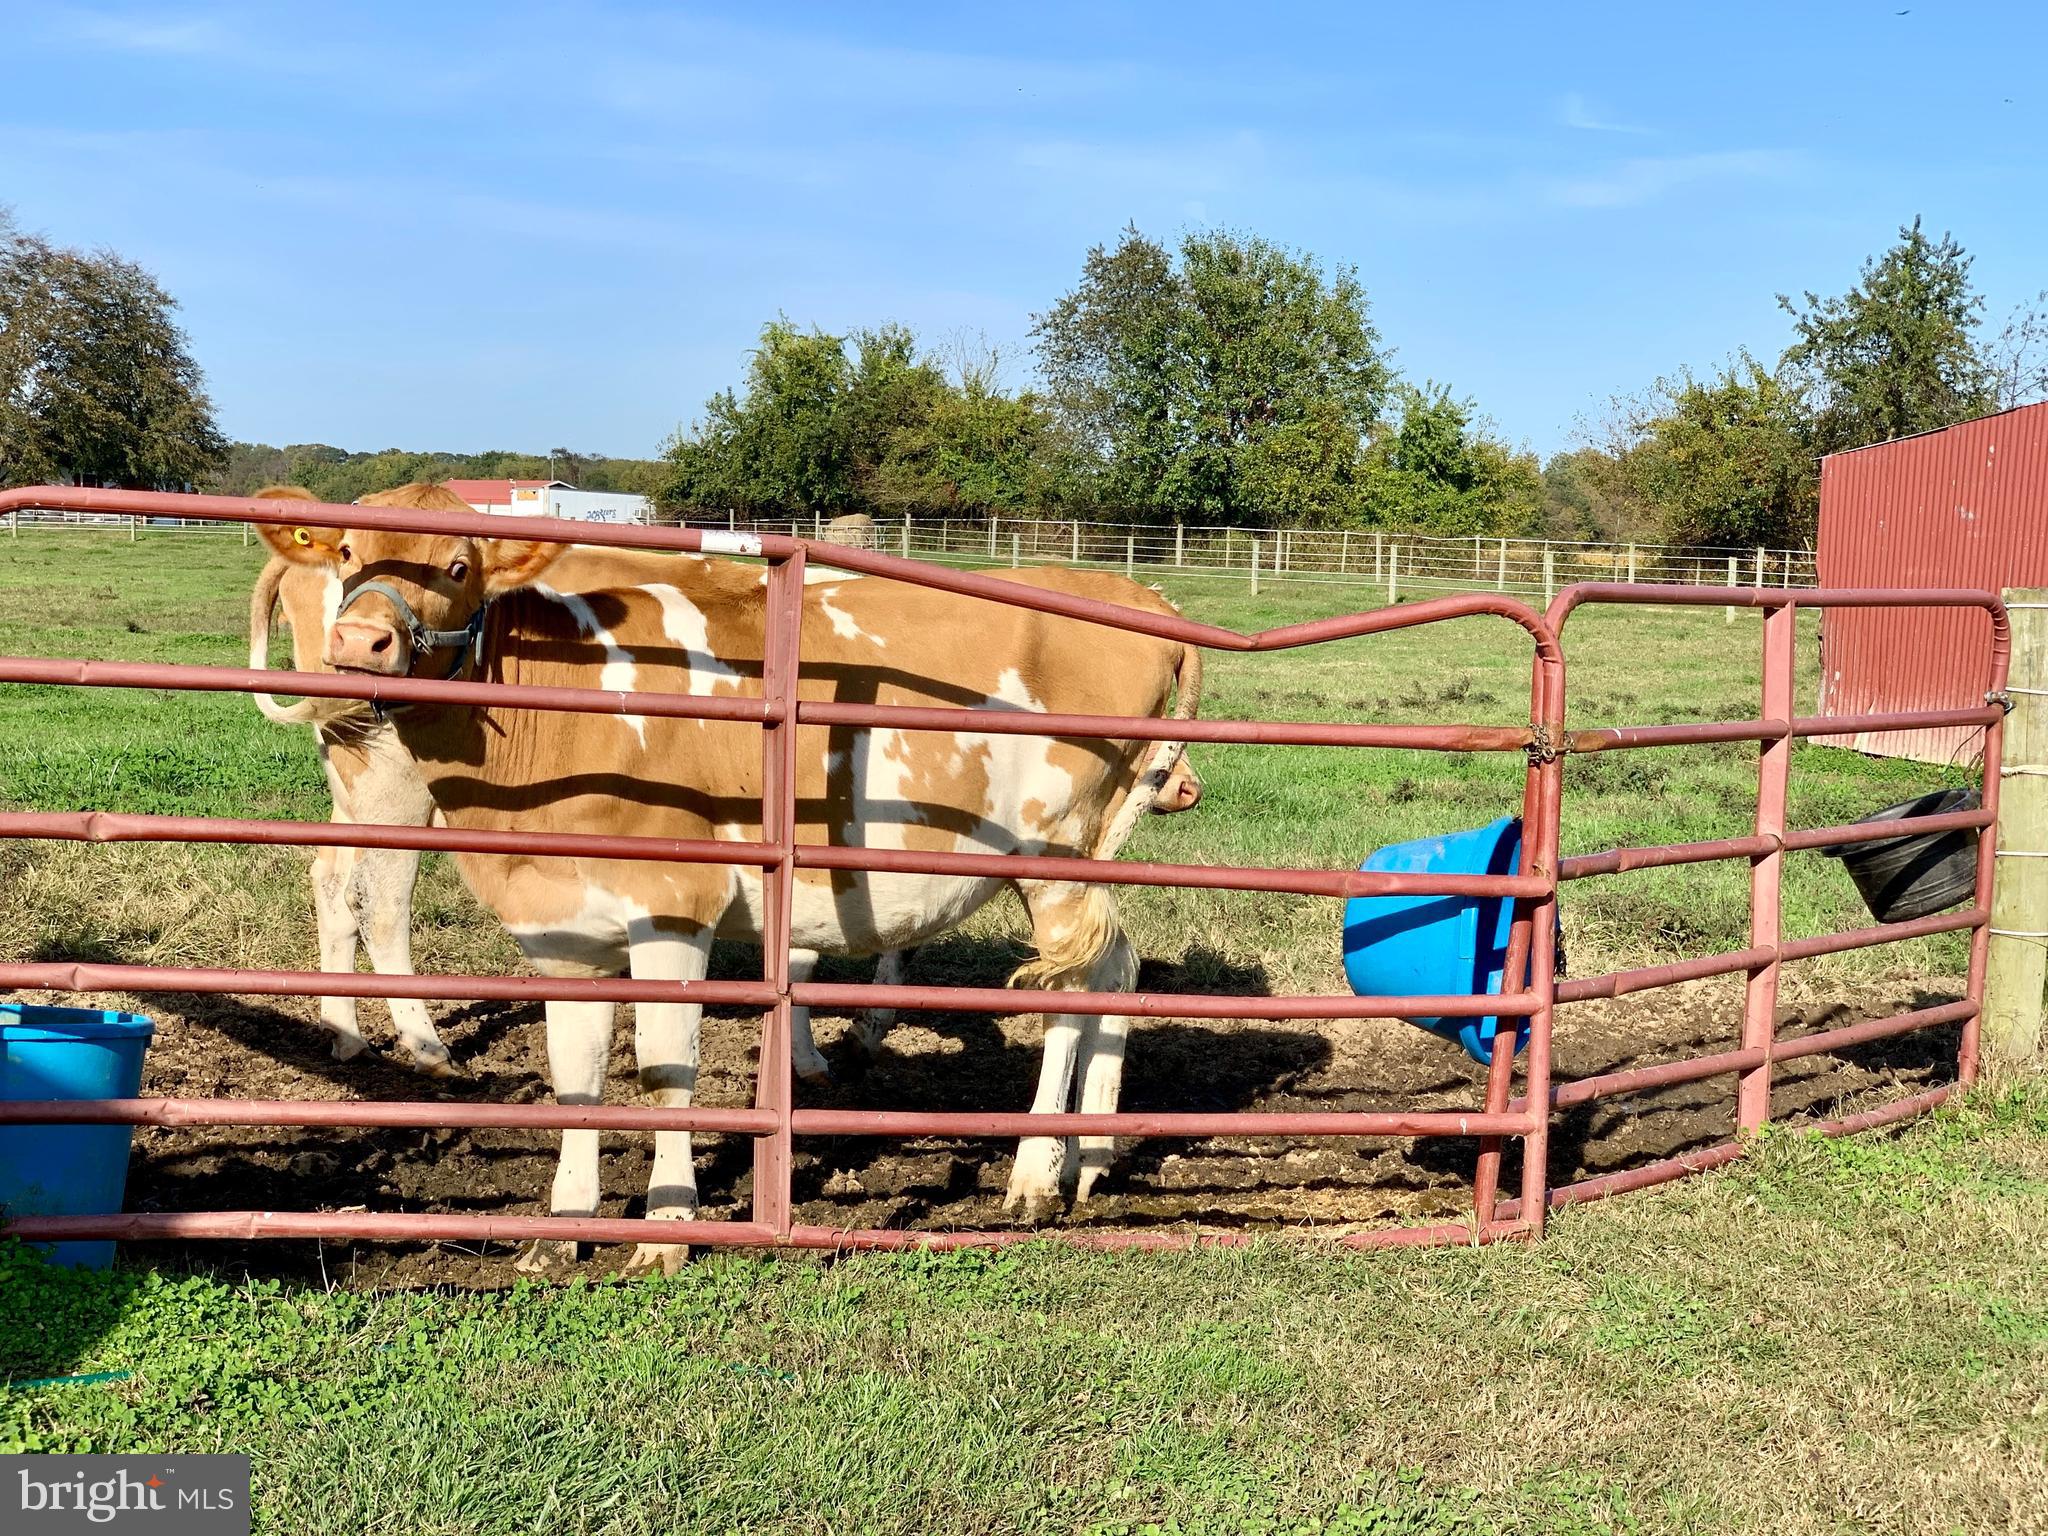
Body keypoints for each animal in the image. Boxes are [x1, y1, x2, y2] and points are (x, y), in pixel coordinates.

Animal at [256, 484, 1202, 1274]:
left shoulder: (675, 908)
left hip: (1056, 856)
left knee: (1070, 987)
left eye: (458, 566)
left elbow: (663, 1070)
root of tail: (1137, 597)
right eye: (347, 552)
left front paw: (667, 1233)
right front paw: (560, 1230)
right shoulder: (561, 923)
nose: (359, 641)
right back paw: (1090, 1157)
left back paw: (1036, 1173)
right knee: (1117, 965)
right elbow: (576, 1076)